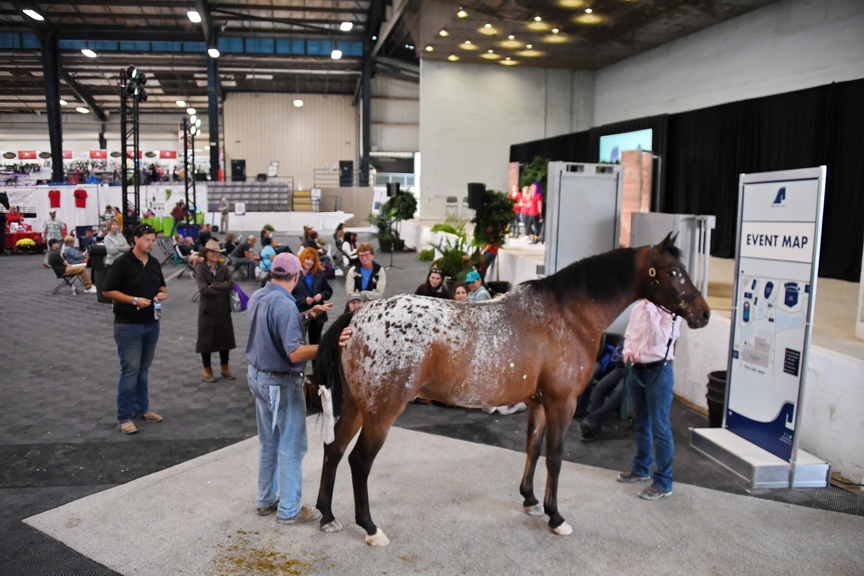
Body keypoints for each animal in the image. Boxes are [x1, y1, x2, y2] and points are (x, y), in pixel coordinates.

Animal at [313, 233, 710, 546]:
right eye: (674, 272)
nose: (703, 314)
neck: (568, 315)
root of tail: (358, 316)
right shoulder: (563, 402)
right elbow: (555, 456)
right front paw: (556, 517)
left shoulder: (538, 402)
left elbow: (532, 448)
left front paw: (531, 501)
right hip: (381, 412)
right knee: (358, 460)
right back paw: (370, 527)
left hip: (355, 406)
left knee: (333, 450)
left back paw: (327, 515)